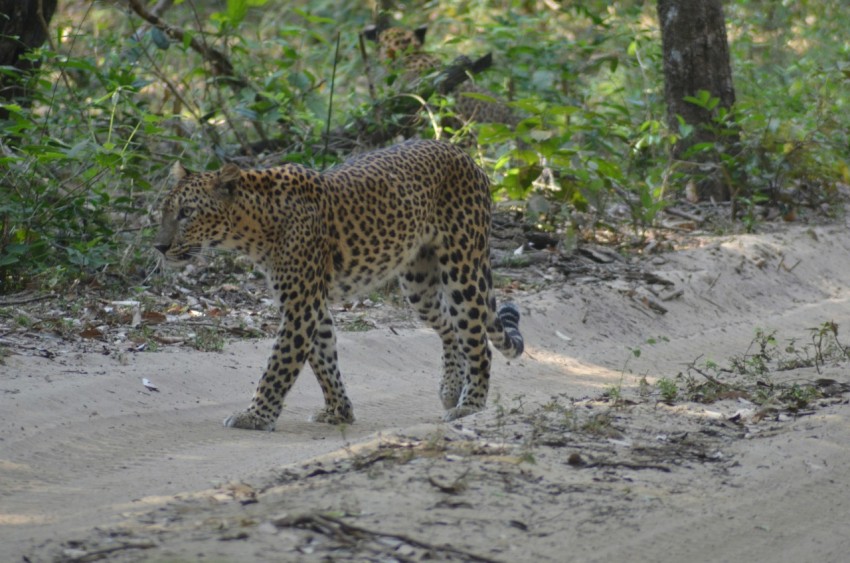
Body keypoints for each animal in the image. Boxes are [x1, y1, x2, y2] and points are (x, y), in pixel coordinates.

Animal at [155, 140, 520, 432]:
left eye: (187, 212)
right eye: (165, 211)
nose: (159, 246)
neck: (253, 226)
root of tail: (464, 154)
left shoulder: (301, 306)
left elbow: (279, 365)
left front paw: (255, 416)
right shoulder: (310, 303)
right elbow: (324, 359)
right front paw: (339, 412)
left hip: (463, 269)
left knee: (477, 339)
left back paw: (469, 405)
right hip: (419, 283)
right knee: (448, 325)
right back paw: (450, 388)